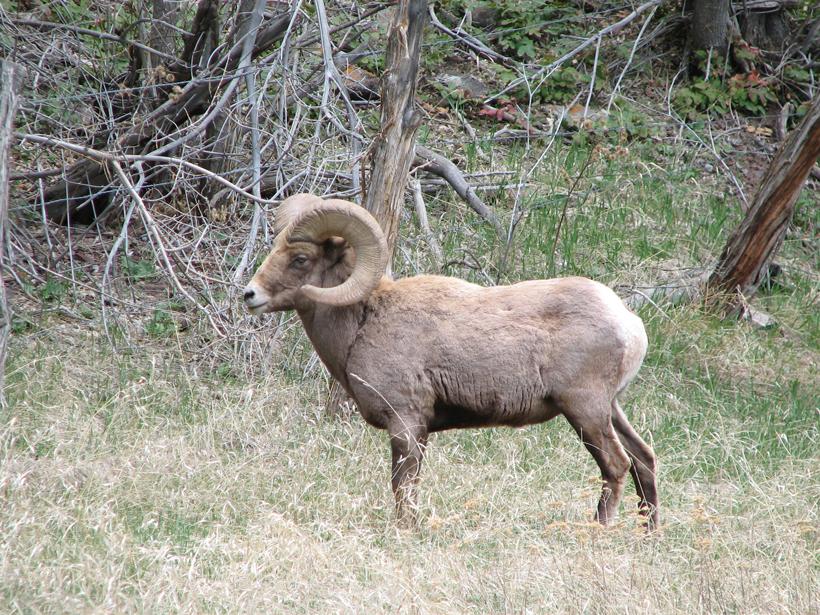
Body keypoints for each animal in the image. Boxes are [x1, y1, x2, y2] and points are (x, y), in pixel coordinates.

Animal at [243, 194, 659, 528]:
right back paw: (648, 534)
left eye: (300, 259)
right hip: (610, 409)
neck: (366, 321)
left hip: (585, 411)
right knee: (643, 460)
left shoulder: (406, 425)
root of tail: (631, 325)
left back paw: (598, 531)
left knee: (616, 466)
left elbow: (403, 487)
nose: (250, 295)